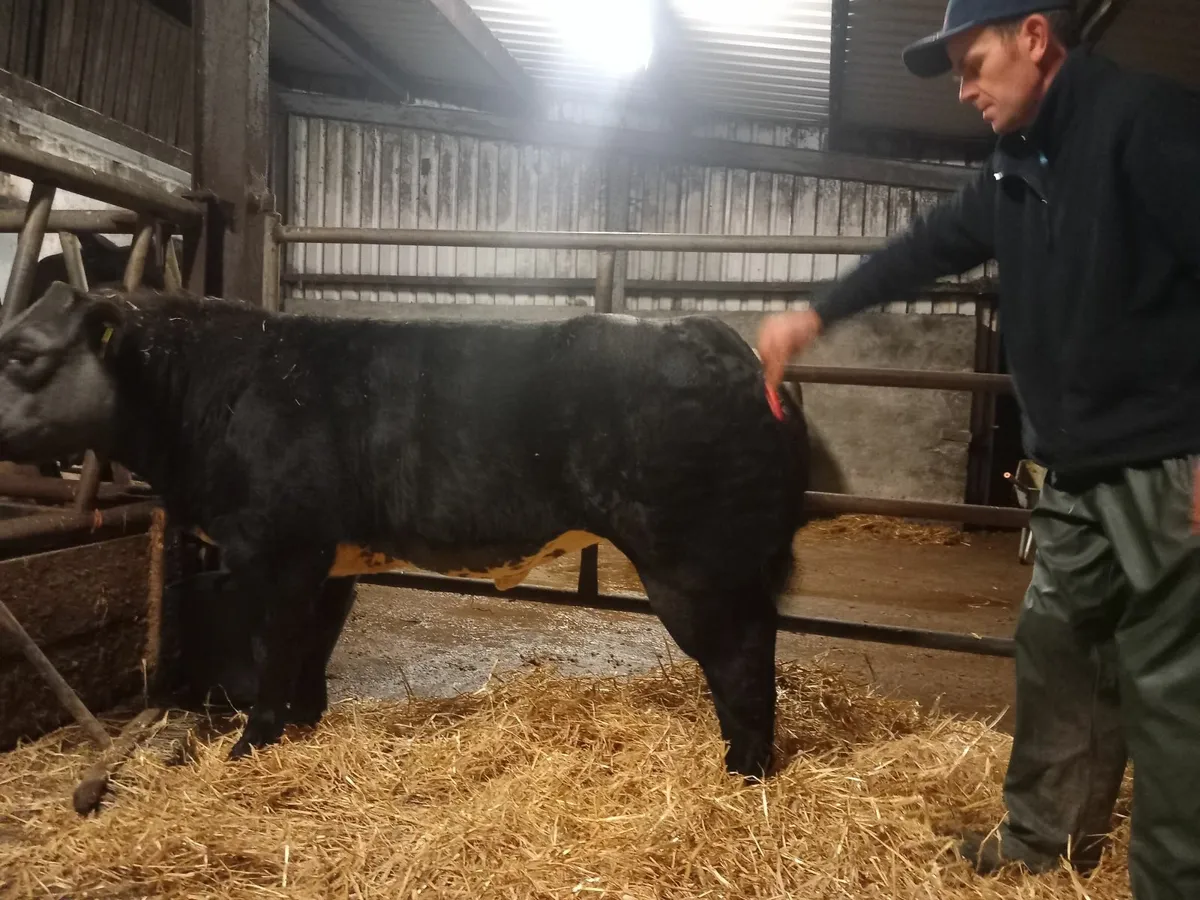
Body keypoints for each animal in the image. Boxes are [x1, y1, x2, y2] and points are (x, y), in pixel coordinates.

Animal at [0, 282, 810, 779]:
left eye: (23, 354)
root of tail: (731, 345)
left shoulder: (277, 550)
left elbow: (273, 654)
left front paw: (248, 746)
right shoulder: (331, 560)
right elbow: (312, 653)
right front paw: (303, 727)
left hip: (693, 564)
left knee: (741, 656)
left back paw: (742, 771)